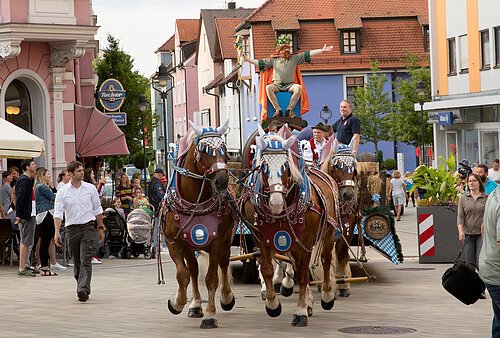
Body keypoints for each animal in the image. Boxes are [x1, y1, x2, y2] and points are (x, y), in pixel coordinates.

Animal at [162, 120, 236, 328]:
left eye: (224, 149)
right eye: (204, 150)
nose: (222, 181)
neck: (195, 202)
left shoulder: (217, 242)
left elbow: (211, 279)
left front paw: (210, 315)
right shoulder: (174, 242)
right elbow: (183, 274)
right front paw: (177, 302)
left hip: (226, 240)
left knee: (224, 263)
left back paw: (227, 297)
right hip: (189, 247)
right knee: (194, 271)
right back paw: (195, 304)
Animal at [243, 125, 340, 328]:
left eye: (286, 166)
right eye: (263, 167)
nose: (276, 203)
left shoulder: (307, 241)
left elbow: (303, 274)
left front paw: (300, 311)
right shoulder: (262, 238)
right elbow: (267, 269)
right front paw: (273, 304)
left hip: (328, 233)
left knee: (326, 260)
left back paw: (327, 296)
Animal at [322, 142, 362, 296]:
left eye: (354, 169)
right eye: (338, 166)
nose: (348, 194)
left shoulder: (347, 229)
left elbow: (341, 255)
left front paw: (343, 284)